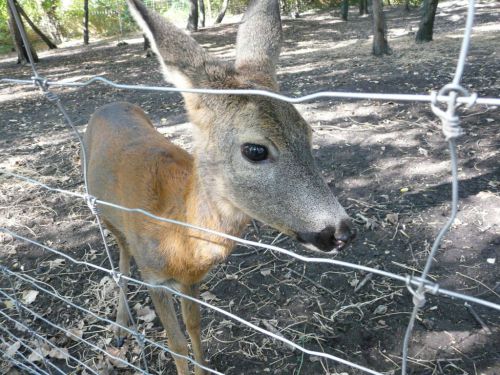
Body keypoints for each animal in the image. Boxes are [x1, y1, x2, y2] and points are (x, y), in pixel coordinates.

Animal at [83, 0, 356, 374]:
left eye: (308, 132)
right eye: (255, 150)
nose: (342, 232)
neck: (175, 230)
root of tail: (106, 105)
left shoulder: (192, 280)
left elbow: (195, 328)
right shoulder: (154, 277)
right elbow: (176, 344)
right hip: (105, 214)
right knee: (121, 260)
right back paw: (121, 328)